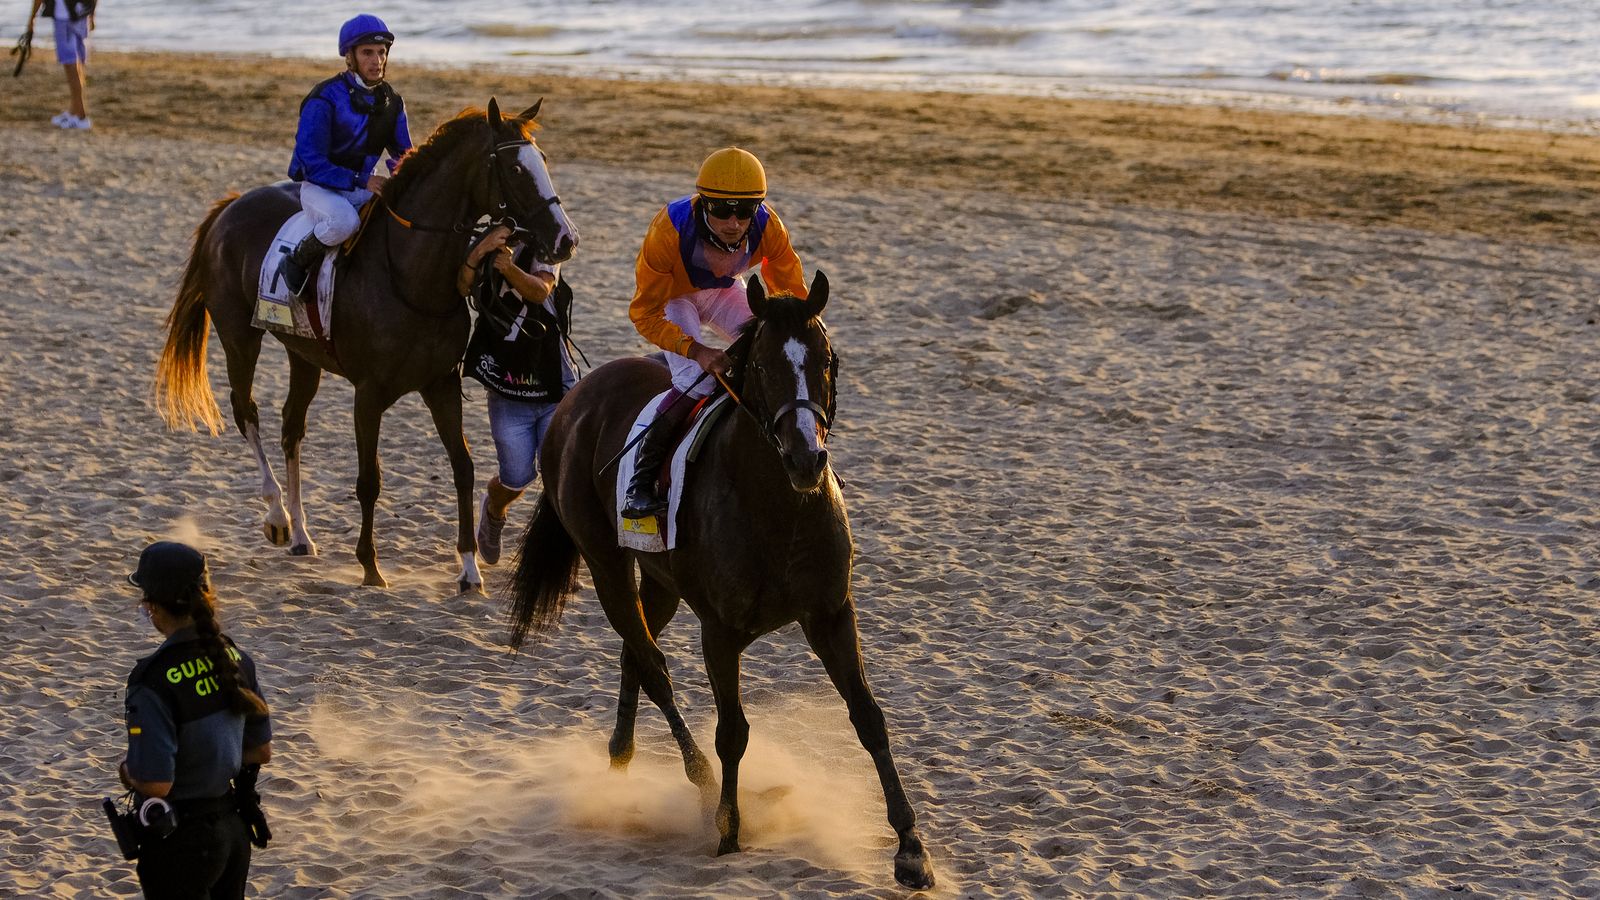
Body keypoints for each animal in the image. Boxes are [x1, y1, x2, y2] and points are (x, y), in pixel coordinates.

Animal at [155, 99, 578, 592]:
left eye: (542, 159)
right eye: (515, 167)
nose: (566, 238)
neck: (410, 278)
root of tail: (230, 206)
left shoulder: (441, 384)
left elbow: (463, 467)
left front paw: (470, 569)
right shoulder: (368, 393)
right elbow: (369, 479)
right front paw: (370, 566)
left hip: (303, 354)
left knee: (291, 426)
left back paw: (301, 534)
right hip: (239, 335)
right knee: (247, 412)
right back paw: (278, 516)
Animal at [506, 272, 936, 889]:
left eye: (827, 359)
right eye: (761, 366)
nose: (806, 458)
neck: (778, 507)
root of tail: (573, 399)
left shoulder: (831, 613)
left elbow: (869, 718)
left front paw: (910, 847)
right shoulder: (720, 631)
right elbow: (732, 730)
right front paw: (730, 828)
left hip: (657, 578)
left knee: (634, 653)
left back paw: (620, 760)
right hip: (606, 562)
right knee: (653, 667)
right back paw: (704, 788)